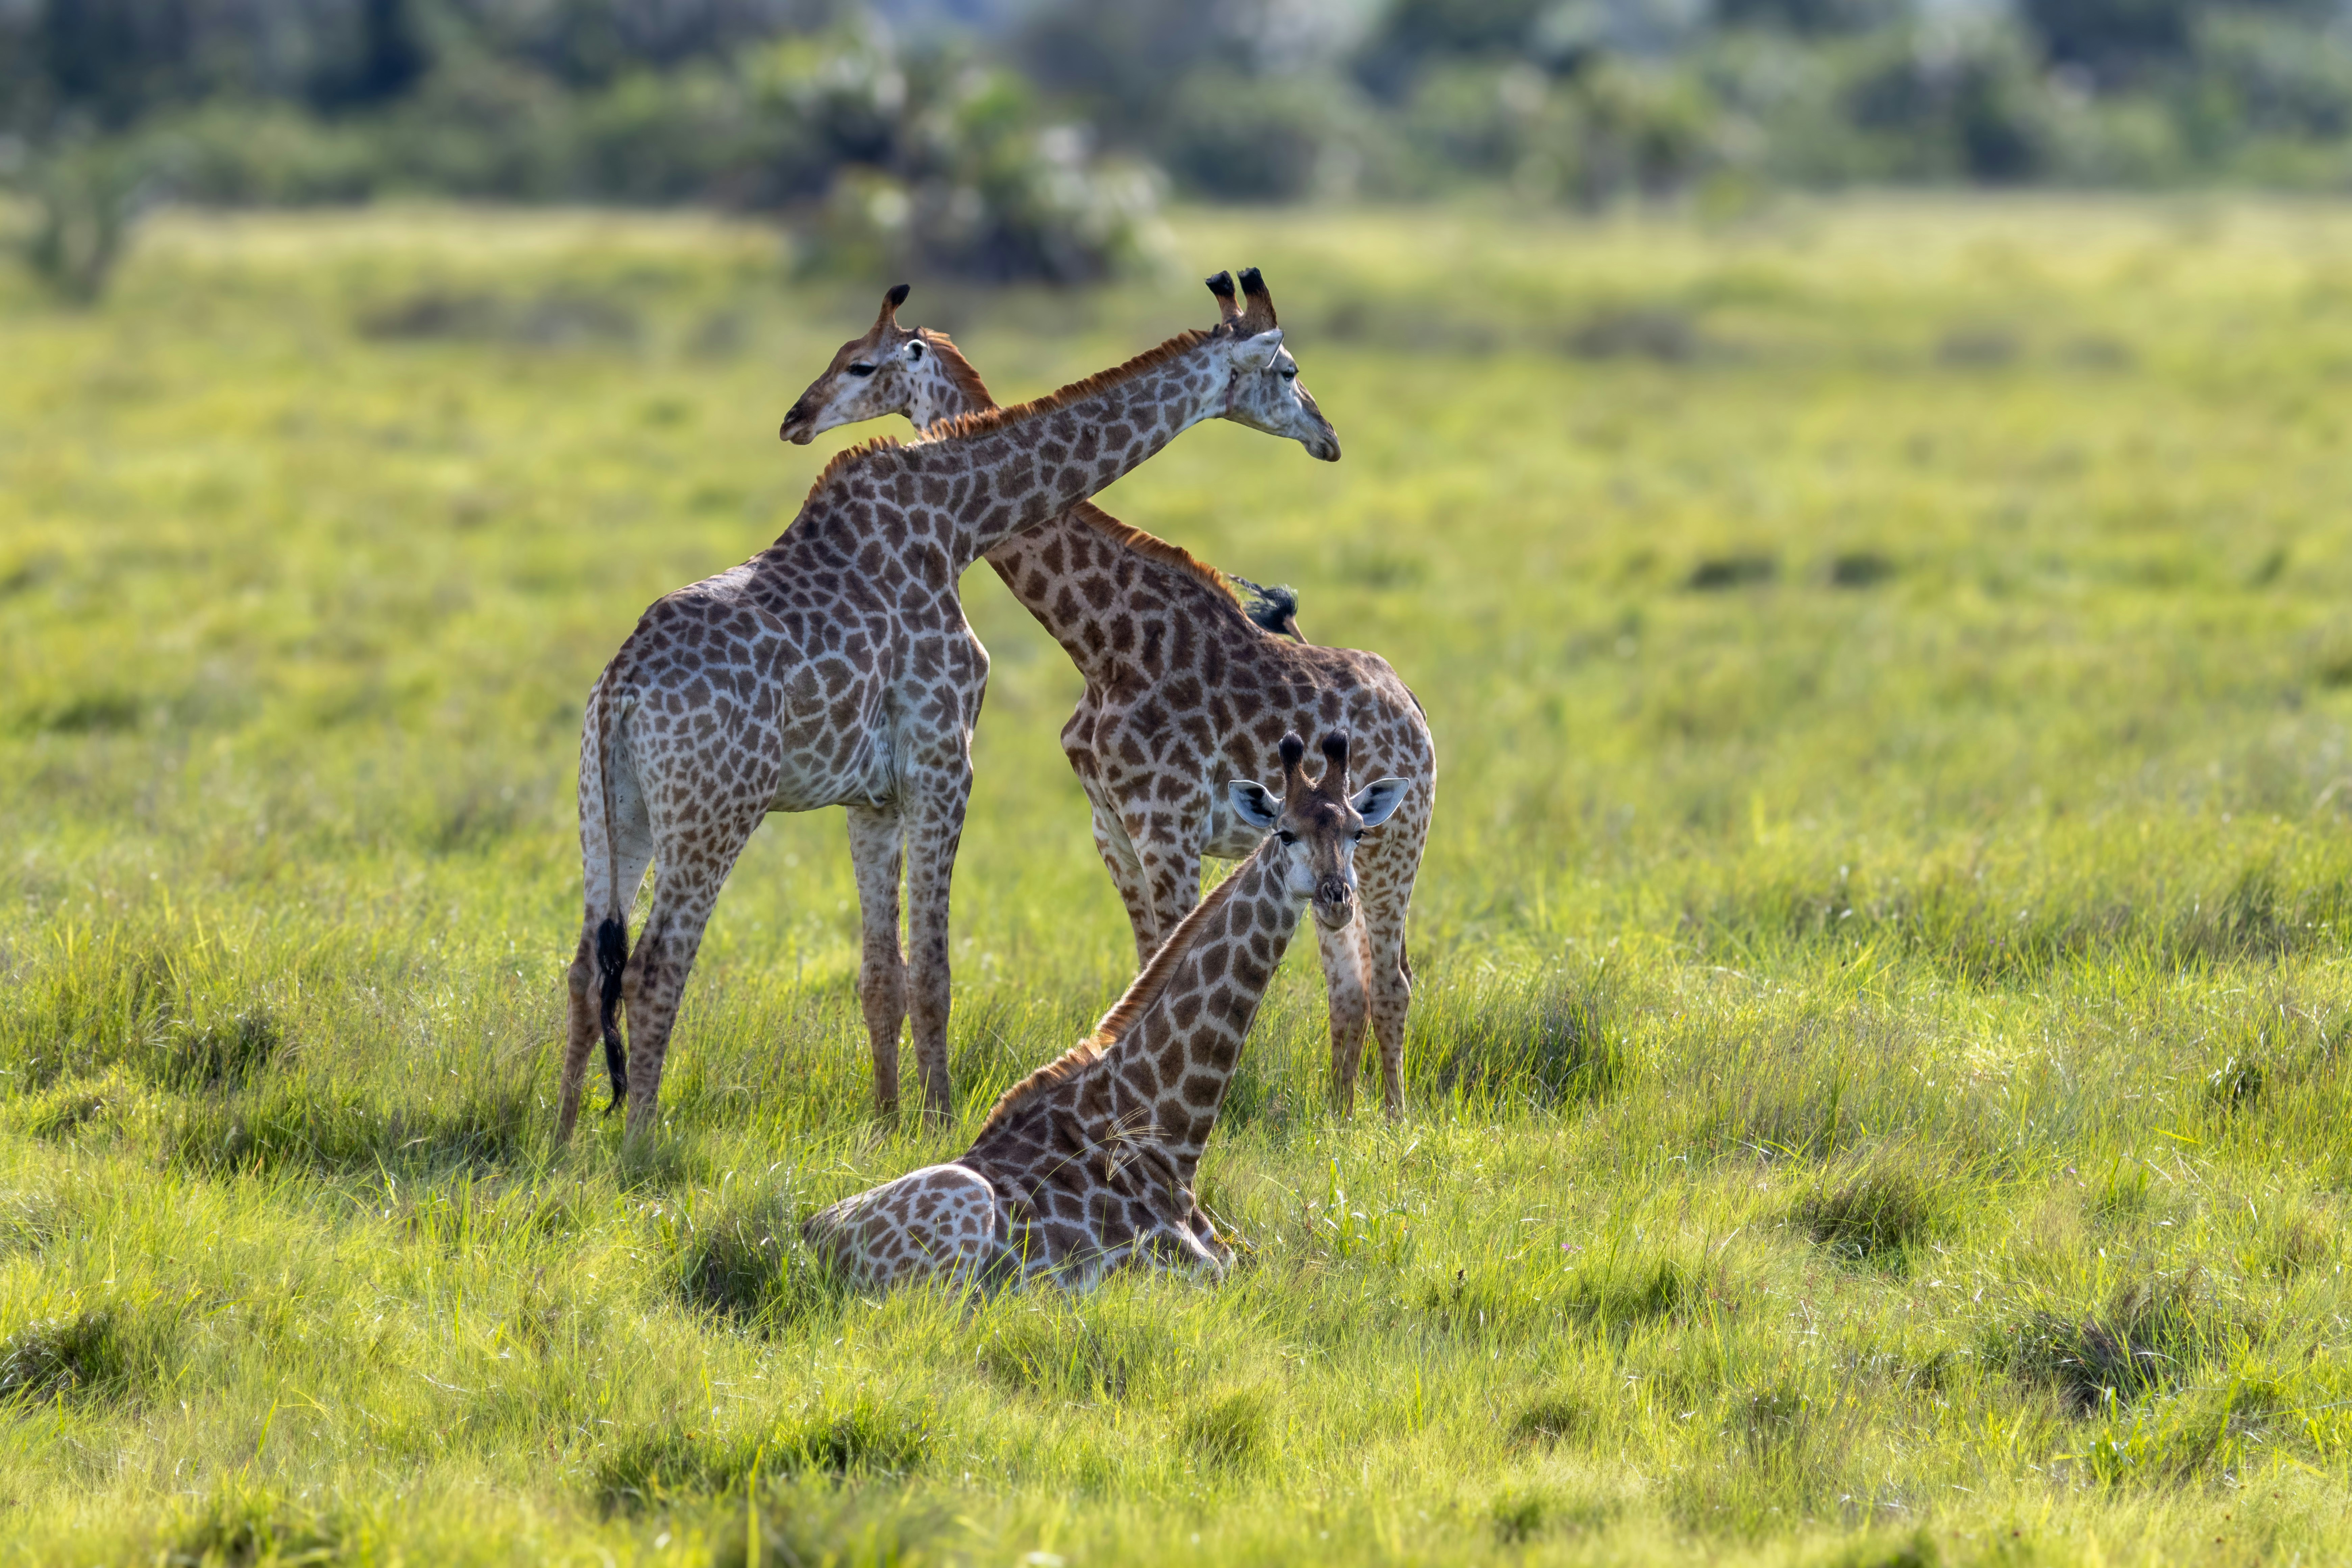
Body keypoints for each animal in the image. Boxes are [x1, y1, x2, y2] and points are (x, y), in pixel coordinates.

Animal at [558, 281, 1340, 1141]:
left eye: (855, 361)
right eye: (1289, 369)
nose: (1328, 436)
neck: (958, 518)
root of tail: (622, 687)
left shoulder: (870, 797)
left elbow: (879, 971)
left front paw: (886, 1119)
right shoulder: (945, 761)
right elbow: (933, 967)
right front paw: (936, 1120)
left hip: (613, 812)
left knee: (585, 965)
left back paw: (564, 1143)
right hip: (714, 810)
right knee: (656, 964)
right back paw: (639, 1143)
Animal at [780, 272, 1436, 1116]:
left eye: (862, 365)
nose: (797, 419)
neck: (1101, 645)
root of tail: (1415, 708)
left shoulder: (1170, 824)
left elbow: (1173, 956)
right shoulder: (1114, 829)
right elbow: (1146, 963)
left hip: (1392, 845)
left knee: (1393, 981)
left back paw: (1390, 1121)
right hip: (1345, 865)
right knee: (1350, 988)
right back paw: (1340, 1116)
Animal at [802, 730, 1408, 1288]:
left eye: (1357, 830)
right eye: (1285, 832)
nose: (1337, 897)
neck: (1170, 1133)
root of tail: (808, 1243)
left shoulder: (1233, 1256)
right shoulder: (1180, 1271)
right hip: (961, 1225)